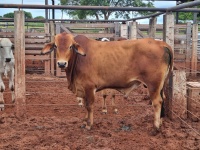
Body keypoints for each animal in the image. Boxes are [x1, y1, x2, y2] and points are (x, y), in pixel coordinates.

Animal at [41, 32, 173, 134]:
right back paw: (161, 122)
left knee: (157, 102)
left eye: (70, 47)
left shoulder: (89, 87)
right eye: (56, 46)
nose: (61, 64)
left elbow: (89, 106)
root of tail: (162, 44)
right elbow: (85, 105)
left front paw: (89, 125)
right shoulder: (82, 88)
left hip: (153, 85)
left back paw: (155, 128)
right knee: (163, 99)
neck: (78, 59)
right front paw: (84, 121)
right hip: (160, 86)